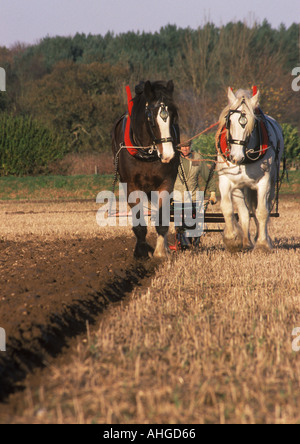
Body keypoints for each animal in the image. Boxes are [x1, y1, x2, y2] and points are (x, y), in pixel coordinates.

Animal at [112, 81, 178, 258]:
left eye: (174, 115)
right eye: (151, 118)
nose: (168, 154)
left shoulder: (166, 183)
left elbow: (162, 218)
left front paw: (161, 252)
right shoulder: (132, 185)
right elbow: (139, 221)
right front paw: (141, 251)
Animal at [216, 88, 284, 251]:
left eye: (252, 125)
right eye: (229, 121)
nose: (235, 157)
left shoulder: (264, 182)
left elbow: (262, 212)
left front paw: (262, 244)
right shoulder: (226, 180)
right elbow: (227, 208)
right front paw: (232, 240)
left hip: (270, 184)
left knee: (263, 208)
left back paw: (261, 238)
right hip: (240, 188)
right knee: (245, 212)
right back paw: (246, 242)